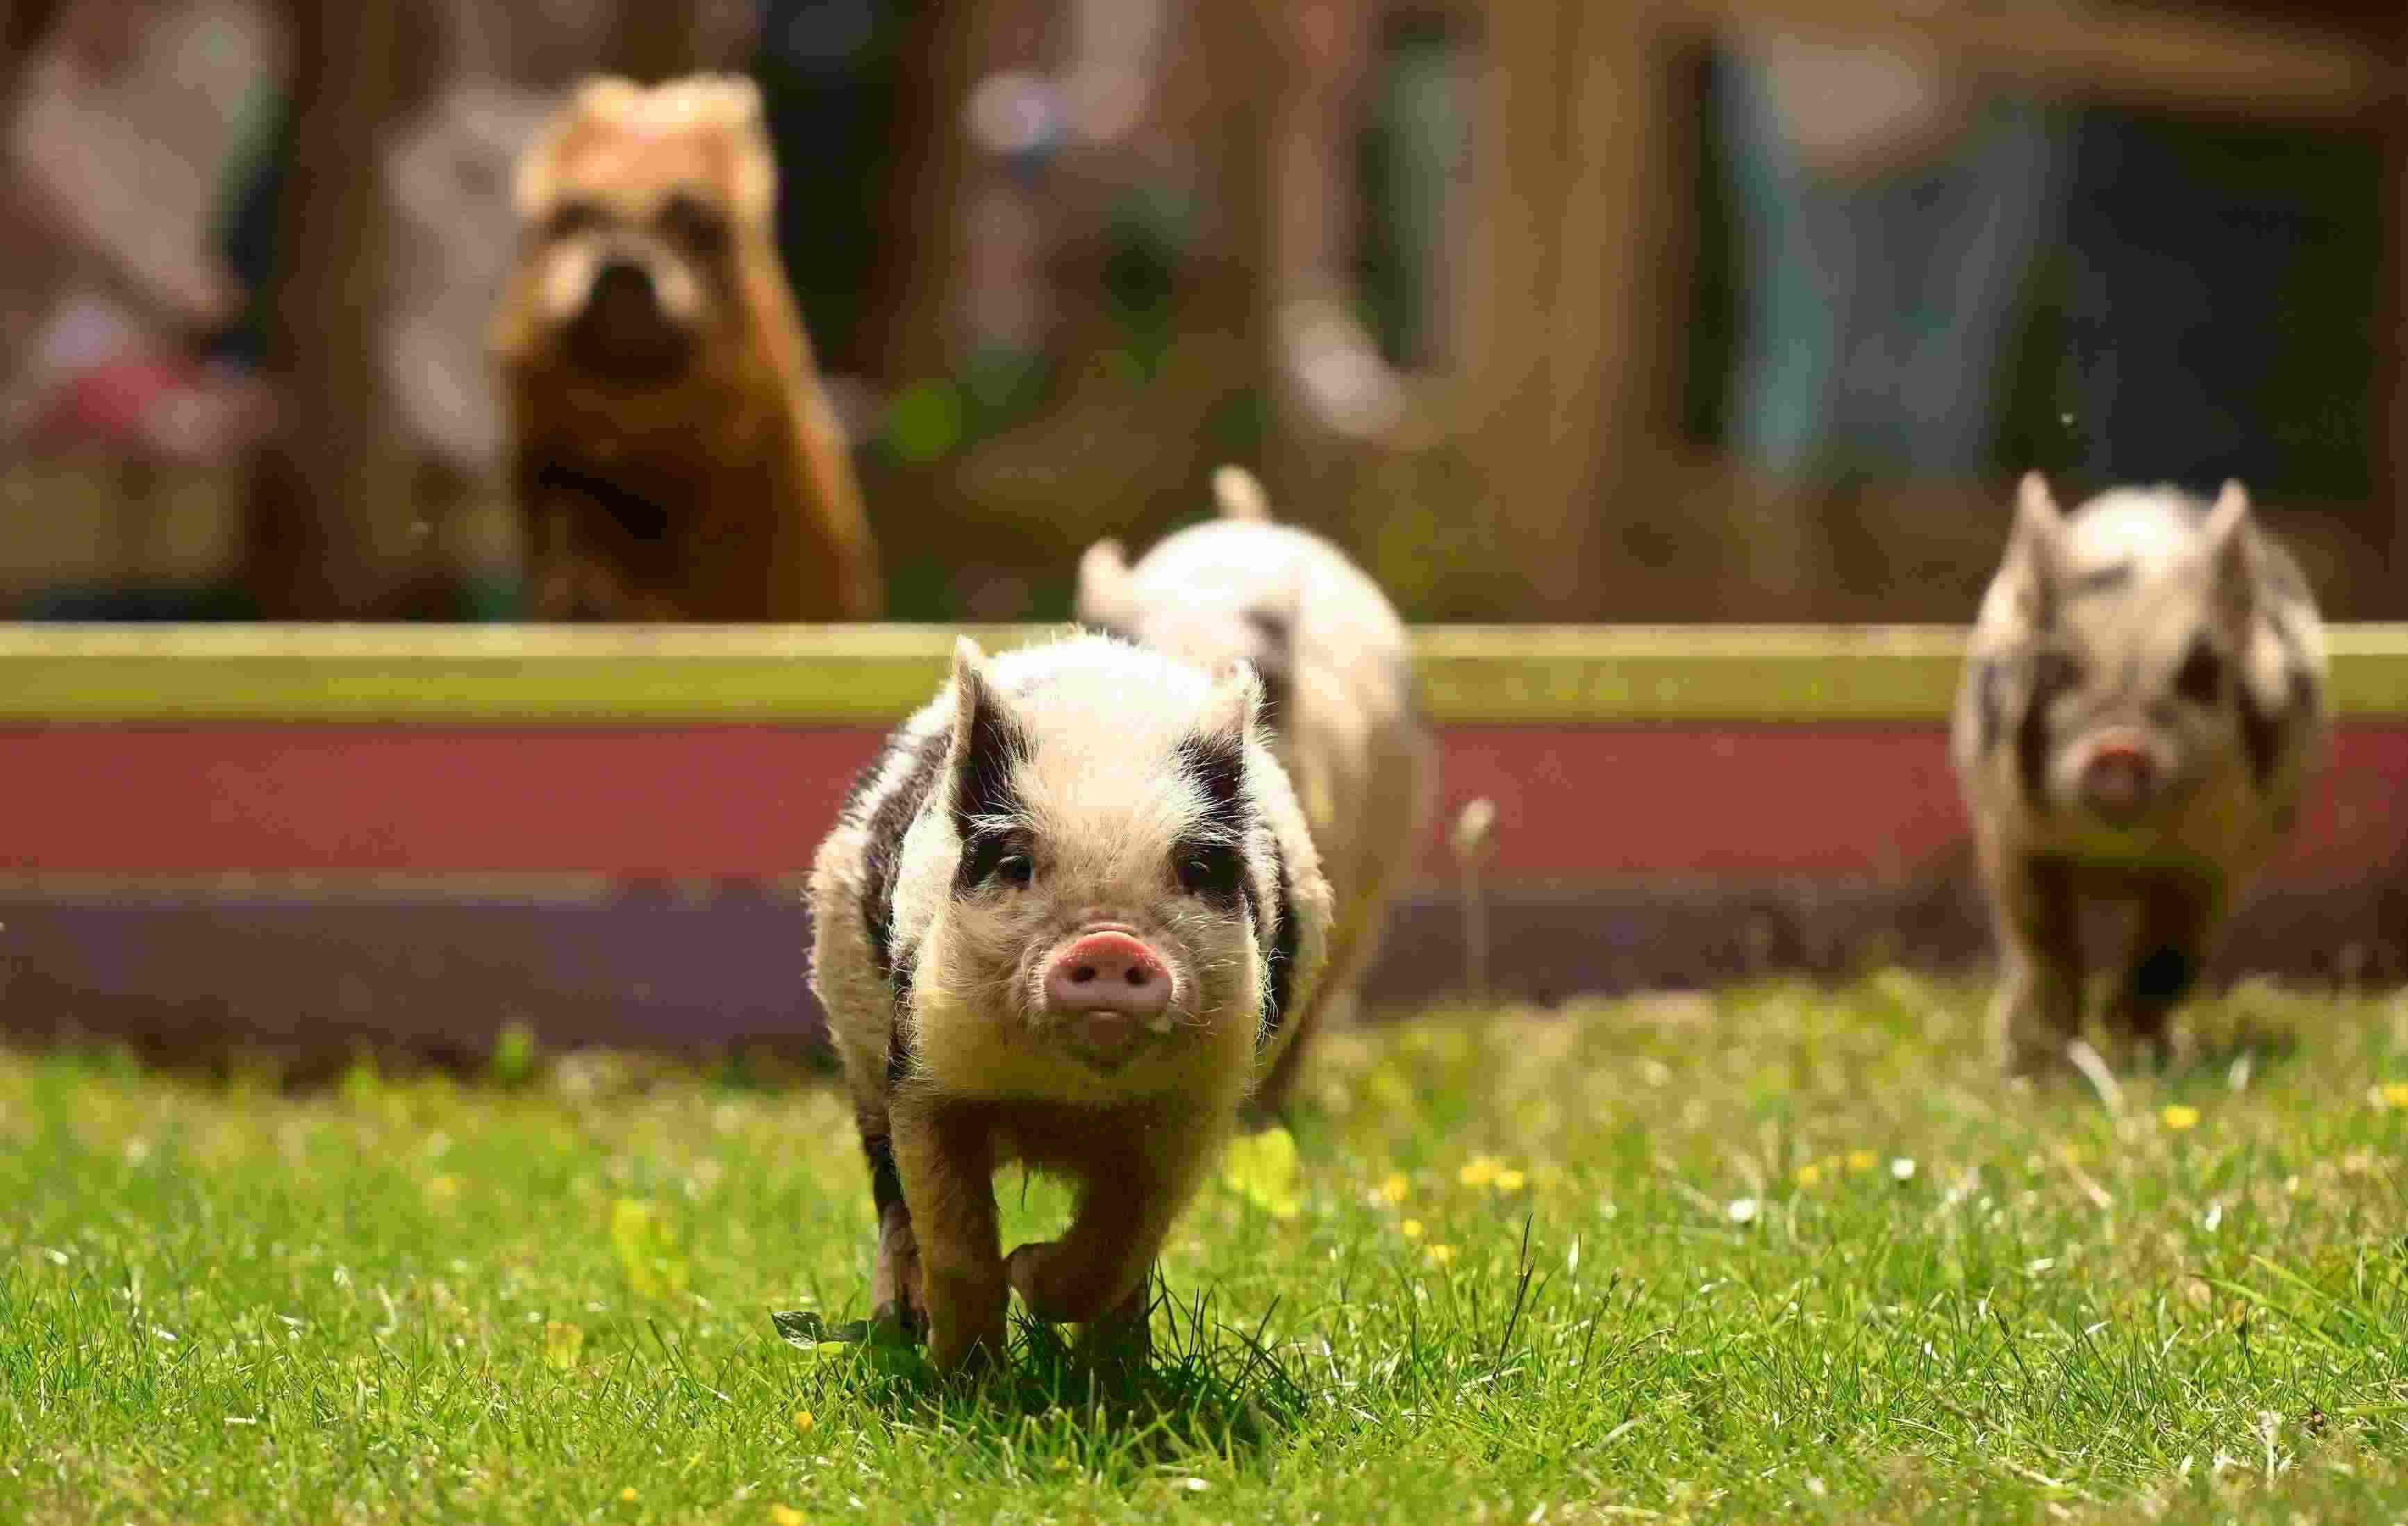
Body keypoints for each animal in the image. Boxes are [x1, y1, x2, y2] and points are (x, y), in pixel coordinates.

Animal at [807, 632, 1334, 1372]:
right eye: (1015, 864)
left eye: (1195, 869)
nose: (1110, 941)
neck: (1066, 1098)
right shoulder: (922, 1070)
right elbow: (954, 1240)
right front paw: (967, 1379)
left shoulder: (1193, 1105)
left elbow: (1120, 1241)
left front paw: (1028, 1272)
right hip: (857, 1055)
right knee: (890, 1198)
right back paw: (899, 1330)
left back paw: (1121, 1372)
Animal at [1951, 473, 2329, 1076]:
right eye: (2058, 668)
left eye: (2200, 672)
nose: (2120, 748)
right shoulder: (2008, 836)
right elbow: (2042, 947)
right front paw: (2038, 1070)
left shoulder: (2219, 862)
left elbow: (2166, 958)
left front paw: (2146, 1062)